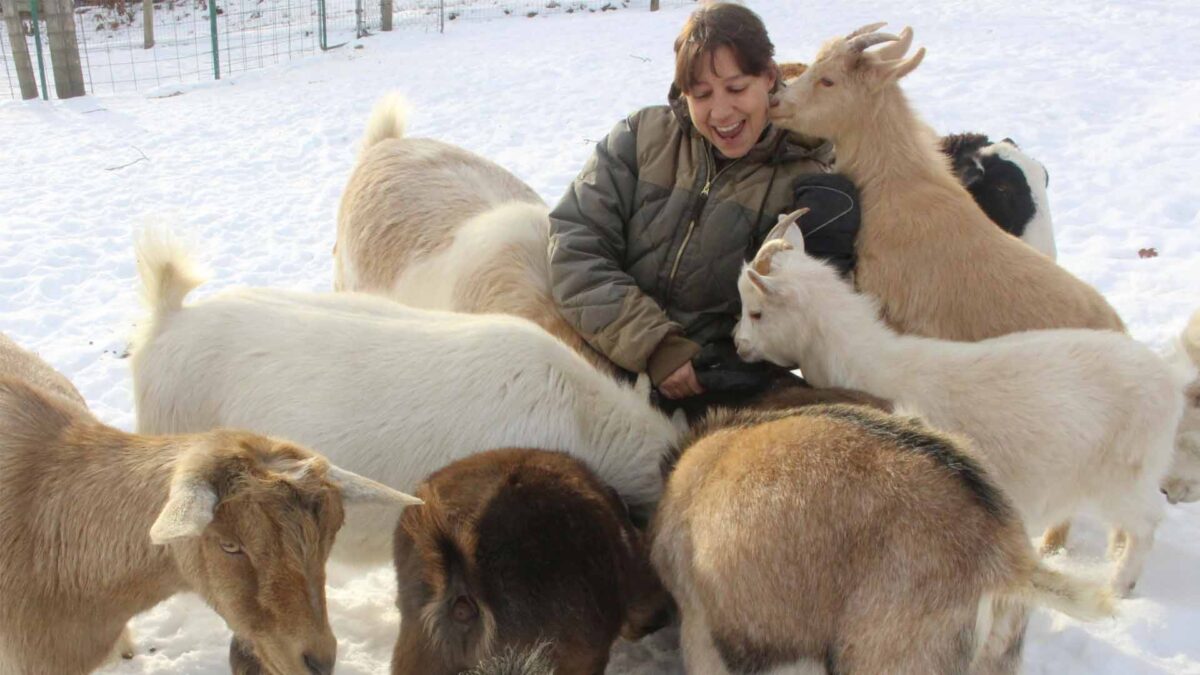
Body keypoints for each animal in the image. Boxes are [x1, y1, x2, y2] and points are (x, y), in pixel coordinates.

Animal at [734, 212, 1185, 590]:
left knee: (1147, 522)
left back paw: (1120, 584)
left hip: (1122, 476)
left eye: (756, 312)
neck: (871, 360)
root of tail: (1169, 382)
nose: (737, 344)